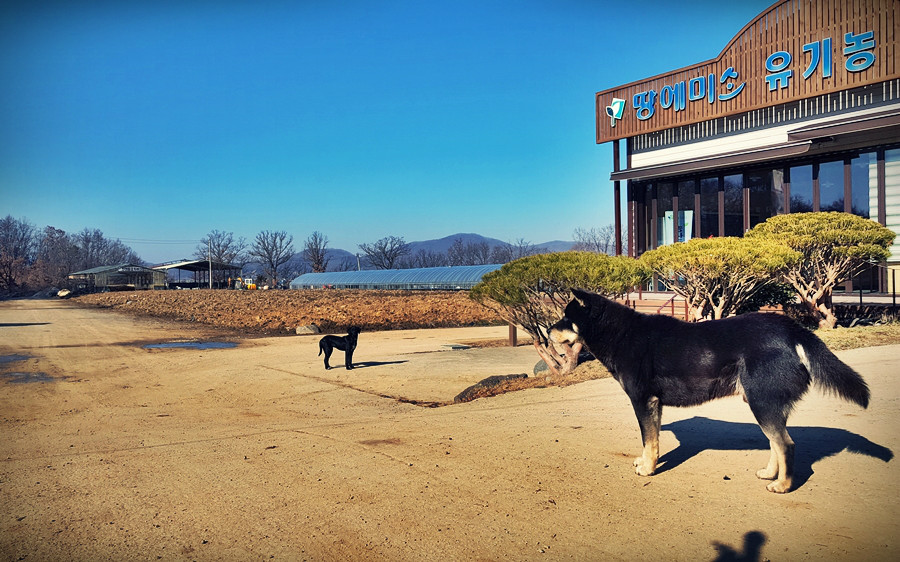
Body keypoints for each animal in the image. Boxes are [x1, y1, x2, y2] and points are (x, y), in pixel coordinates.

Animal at [544, 288, 868, 490]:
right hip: (768, 404)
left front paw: (647, 469)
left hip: (762, 403)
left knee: (786, 445)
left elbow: (649, 440)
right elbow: (652, 441)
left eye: (566, 318)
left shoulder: (643, 400)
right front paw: (648, 461)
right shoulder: (654, 404)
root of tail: (791, 329)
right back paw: (770, 474)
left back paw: (783, 485)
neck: (618, 333)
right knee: (777, 443)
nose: (546, 331)